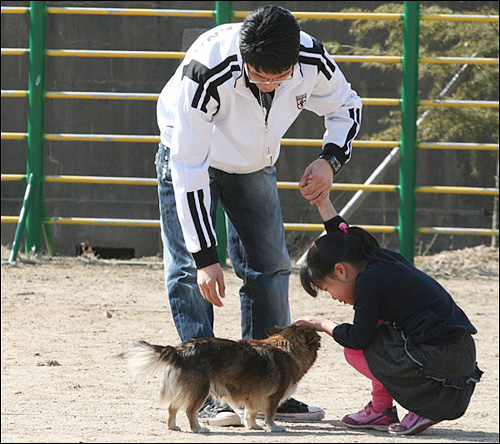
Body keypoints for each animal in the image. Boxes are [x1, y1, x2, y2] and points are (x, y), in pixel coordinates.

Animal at [117, 324, 320, 432]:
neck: (286, 348)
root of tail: (179, 351)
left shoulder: (253, 396)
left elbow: (251, 413)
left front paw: (253, 426)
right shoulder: (272, 397)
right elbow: (270, 415)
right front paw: (273, 427)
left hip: (185, 390)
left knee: (172, 407)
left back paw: (173, 427)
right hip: (200, 390)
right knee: (189, 411)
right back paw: (198, 429)